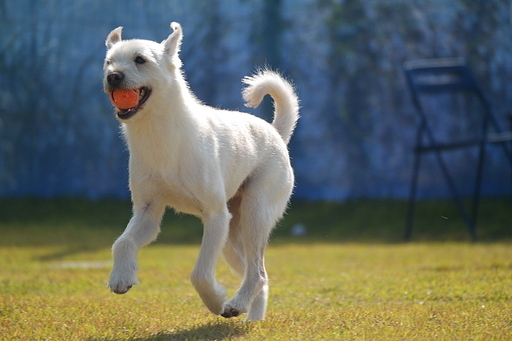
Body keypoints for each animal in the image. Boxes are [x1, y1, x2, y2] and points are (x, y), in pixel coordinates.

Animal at [102, 22, 298, 320]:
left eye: (140, 59)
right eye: (108, 62)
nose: (113, 76)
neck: (160, 133)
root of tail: (276, 132)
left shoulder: (215, 216)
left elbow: (200, 274)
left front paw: (216, 301)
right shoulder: (148, 212)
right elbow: (122, 243)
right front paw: (121, 277)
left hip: (255, 216)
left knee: (258, 273)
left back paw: (236, 305)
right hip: (232, 238)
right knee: (259, 278)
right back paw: (252, 318)